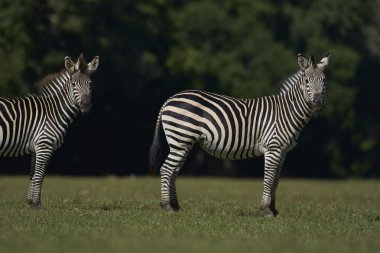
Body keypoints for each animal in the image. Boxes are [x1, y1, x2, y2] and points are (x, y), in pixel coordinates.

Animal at [0, 54, 99, 209]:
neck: (53, 112)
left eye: (90, 84)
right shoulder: (44, 146)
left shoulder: (36, 149)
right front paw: (37, 204)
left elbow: (33, 174)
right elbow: (40, 175)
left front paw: (30, 202)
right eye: (73, 84)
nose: (86, 106)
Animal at [148, 52, 330, 217]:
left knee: (173, 170)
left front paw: (274, 210)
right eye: (306, 81)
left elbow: (276, 180)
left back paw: (175, 206)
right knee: (166, 169)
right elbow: (269, 178)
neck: (287, 112)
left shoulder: (283, 151)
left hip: (183, 143)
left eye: (324, 81)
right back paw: (167, 206)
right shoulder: (273, 148)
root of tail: (171, 98)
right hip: (180, 139)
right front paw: (266, 210)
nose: (318, 103)